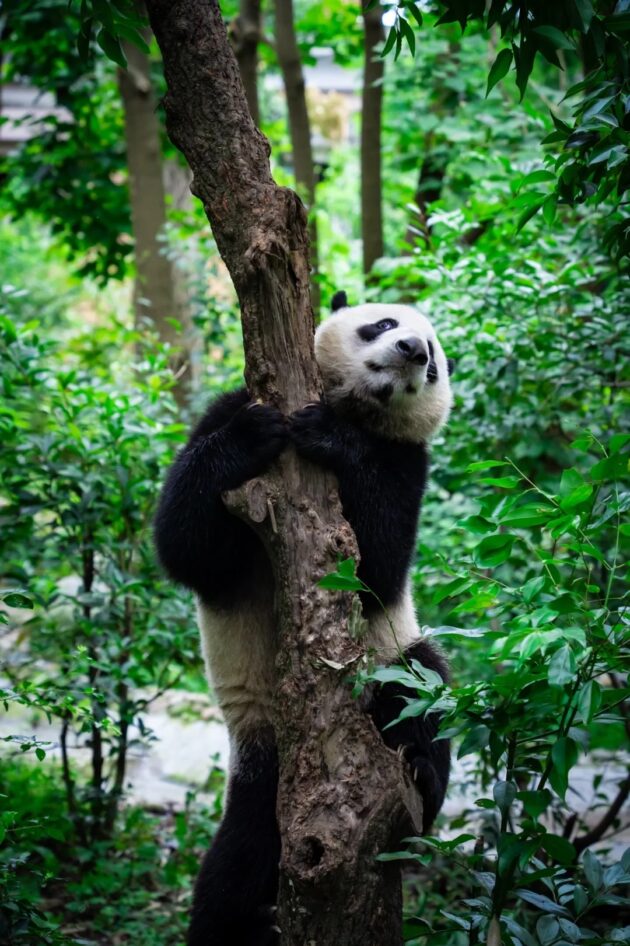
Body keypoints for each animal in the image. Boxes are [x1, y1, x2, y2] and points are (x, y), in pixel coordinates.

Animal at [154, 292, 453, 946]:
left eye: (433, 361)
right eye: (384, 323)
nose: (409, 350)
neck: (353, 407)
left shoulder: (409, 463)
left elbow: (380, 565)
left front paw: (328, 437)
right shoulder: (221, 411)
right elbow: (186, 545)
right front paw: (253, 435)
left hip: (390, 664)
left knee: (421, 685)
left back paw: (422, 778)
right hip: (260, 740)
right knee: (240, 852)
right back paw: (239, 923)